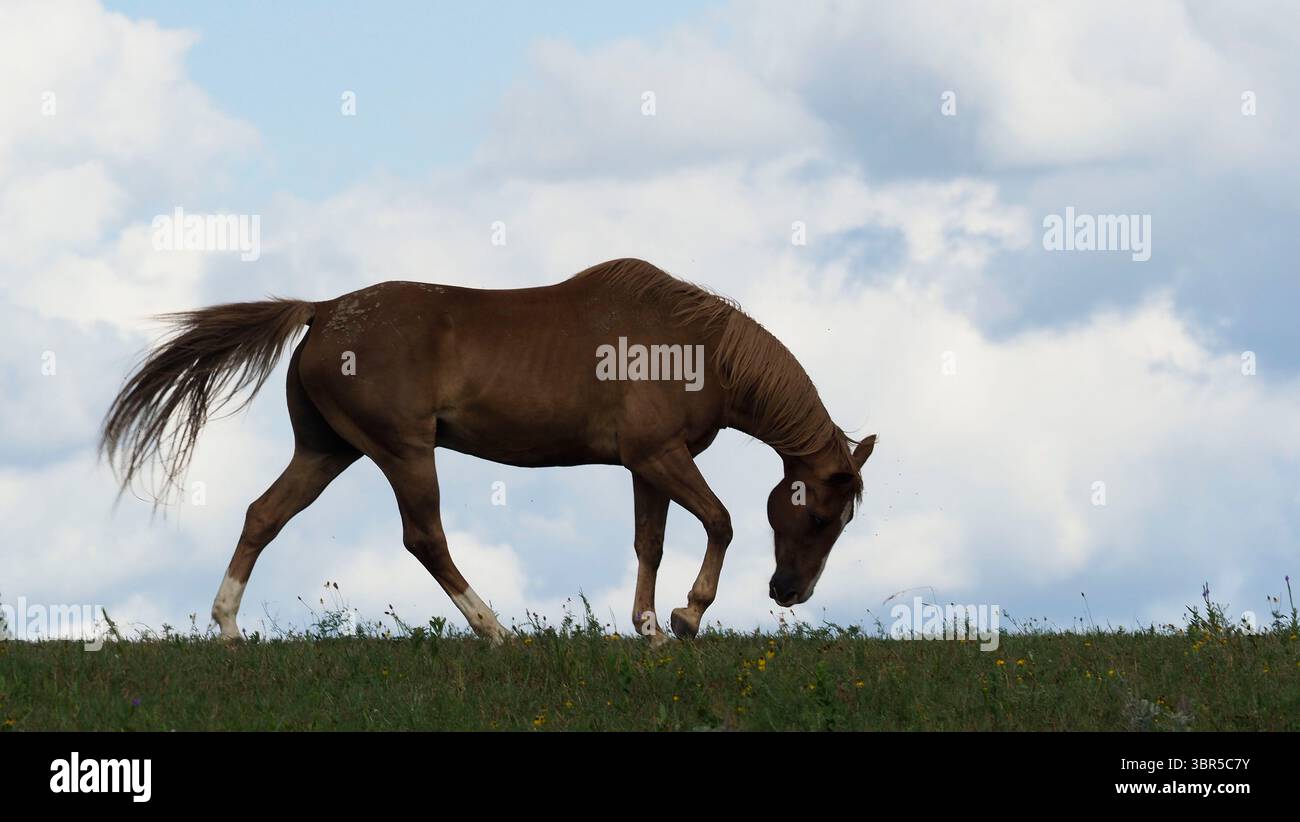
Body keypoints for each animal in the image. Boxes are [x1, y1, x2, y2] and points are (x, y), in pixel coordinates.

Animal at [100, 258, 876, 643]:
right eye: (815, 515)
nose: (790, 592)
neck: (696, 346)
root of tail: (320, 313)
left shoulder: (649, 465)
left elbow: (649, 545)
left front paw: (651, 633)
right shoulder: (662, 457)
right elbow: (720, 521)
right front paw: (686, 618)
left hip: (327, 452)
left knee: (264, 515)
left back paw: (230, 631)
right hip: (405, 453)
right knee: (425, 539)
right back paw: (497, 631)